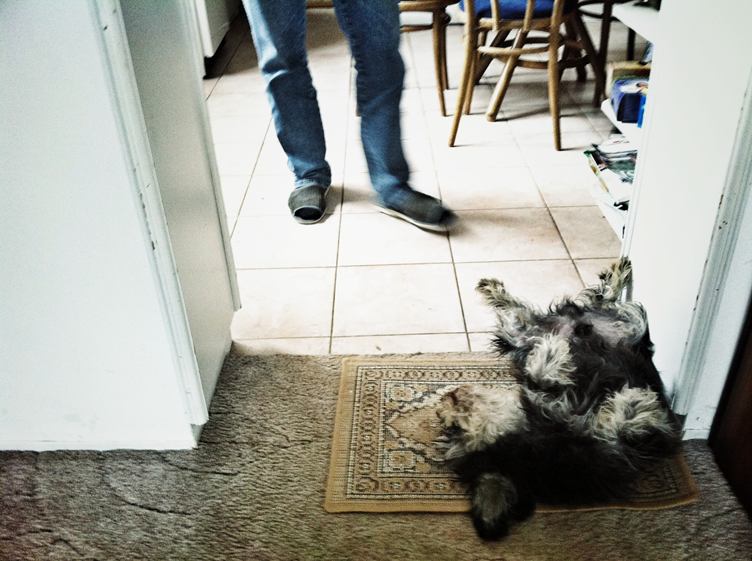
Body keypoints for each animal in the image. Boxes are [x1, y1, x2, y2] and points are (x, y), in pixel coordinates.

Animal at [436, 258, 681, 540]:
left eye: (452, 428)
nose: (442, 404)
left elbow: (538, 377)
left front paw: (552, 353)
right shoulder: (616, 449)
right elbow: (624, 425)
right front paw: (633, 403)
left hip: (547, 331)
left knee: (594, 300)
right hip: (536, 331)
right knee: (592, 303)